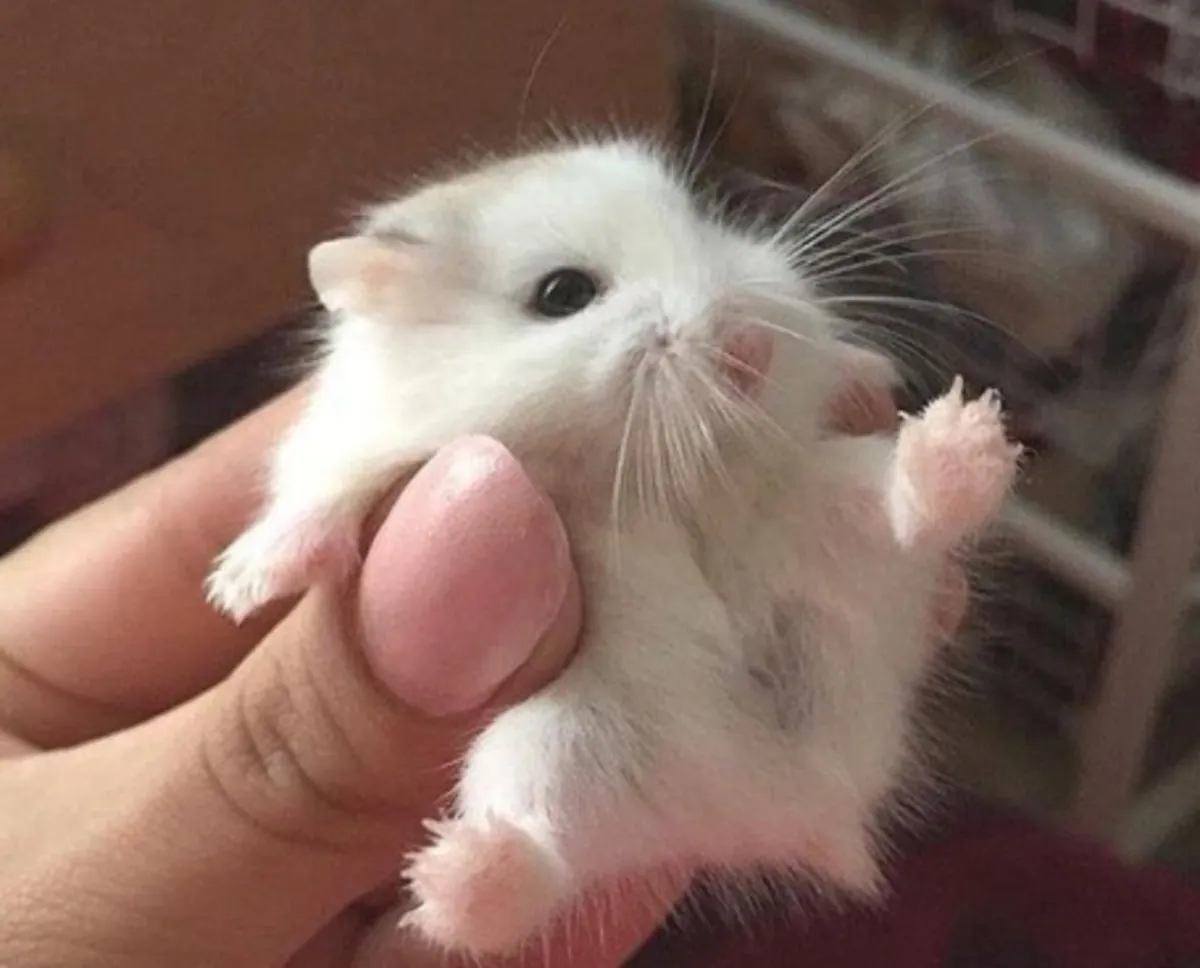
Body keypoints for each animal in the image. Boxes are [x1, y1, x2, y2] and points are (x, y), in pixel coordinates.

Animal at [206, 136, 1020, 957]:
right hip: (561, 742)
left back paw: (965, 441)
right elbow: (318, 502)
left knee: (900, 511)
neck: (636, 471)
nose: (750, 349)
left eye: (703, 224)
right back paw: (455, 876)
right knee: (538, 858)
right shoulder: (358, 450)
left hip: (823, 508)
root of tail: (795, 804)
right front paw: (240, 591)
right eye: (563, 294)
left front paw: (869, 369)